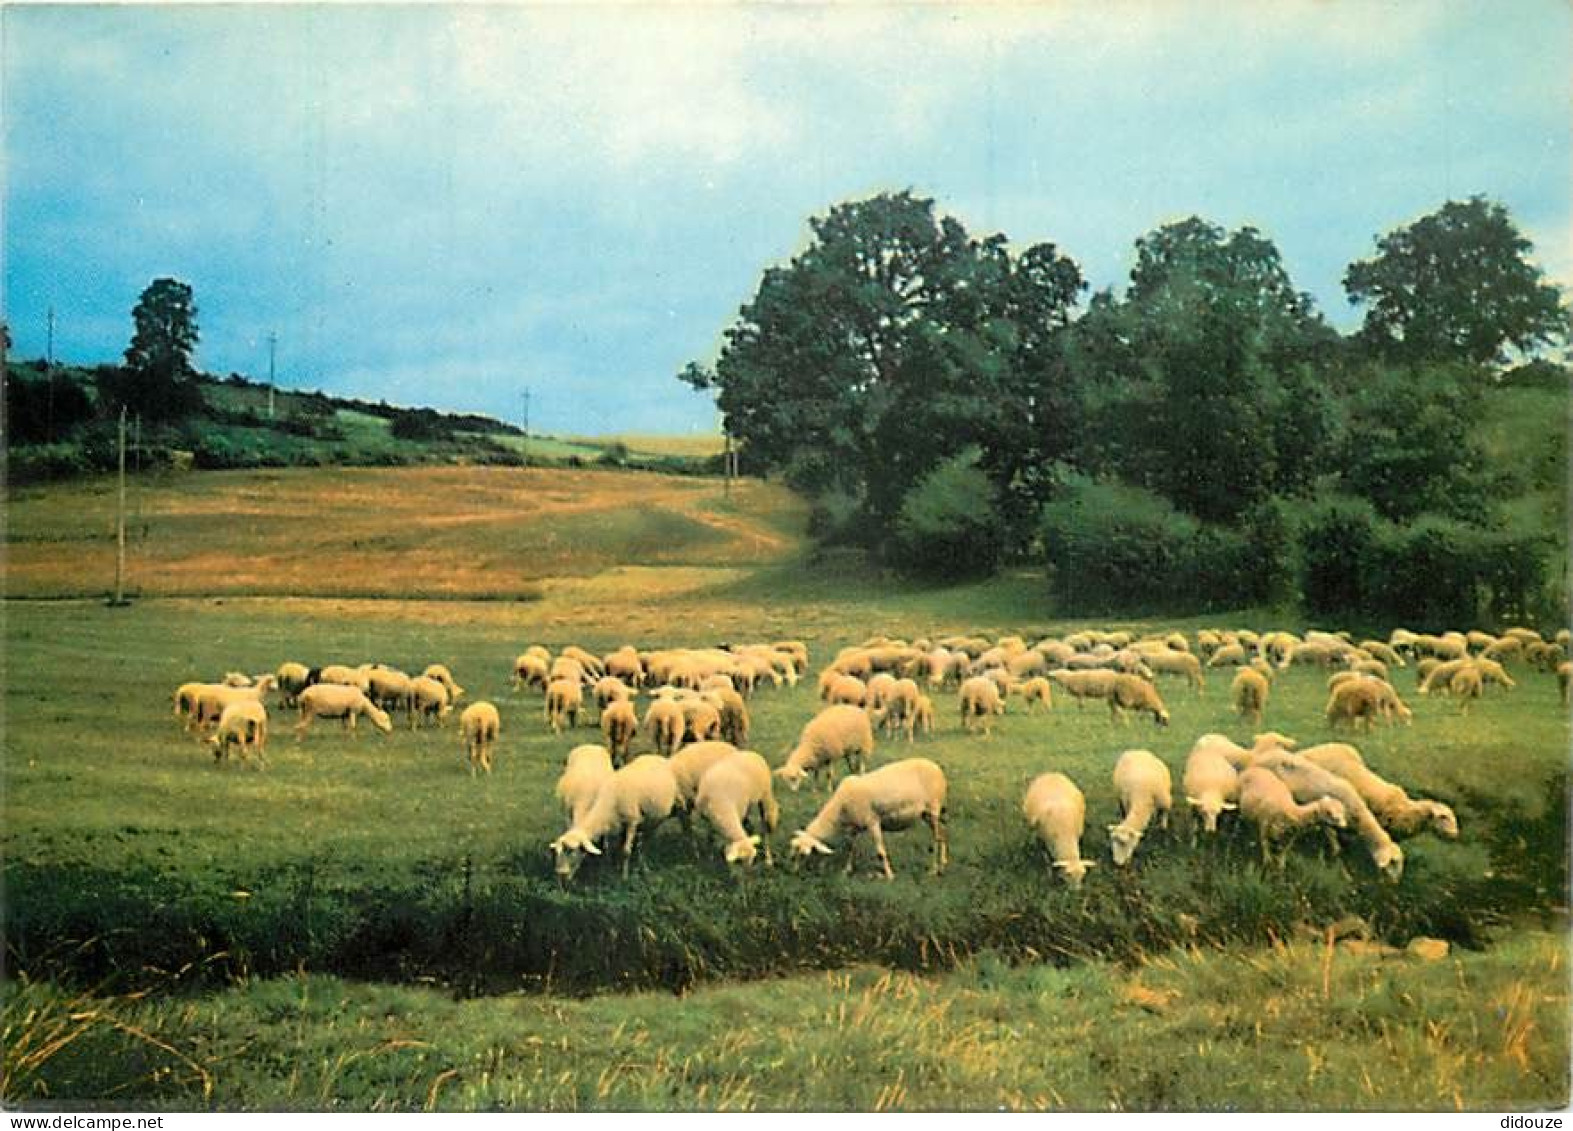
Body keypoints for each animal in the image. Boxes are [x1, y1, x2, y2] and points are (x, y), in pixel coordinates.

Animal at [550, 755, 679, 880]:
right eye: (556, 852)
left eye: (571, 851)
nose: (561, 876)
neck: (609, 802)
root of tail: (656, 756)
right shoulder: (623, 824)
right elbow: (620, 845)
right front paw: (617, 867)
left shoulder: (632, 821)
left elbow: (626, 851)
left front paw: (624, 877)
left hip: (655, 818)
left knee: (645, 842)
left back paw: (644, 867)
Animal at [786, 755, 943, 880]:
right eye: (793, 853)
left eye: (804, 855)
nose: (794, 873)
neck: (839, 809)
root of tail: (937, 768)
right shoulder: (854, 827)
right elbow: (851, 848)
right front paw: (846, 870)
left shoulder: (872, 822)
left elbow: (880, 852)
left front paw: (889, 875)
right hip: (926, 814)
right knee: (942, 834)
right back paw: (943, 862)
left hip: (933, 808)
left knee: (936, 838)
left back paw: (934, 869)